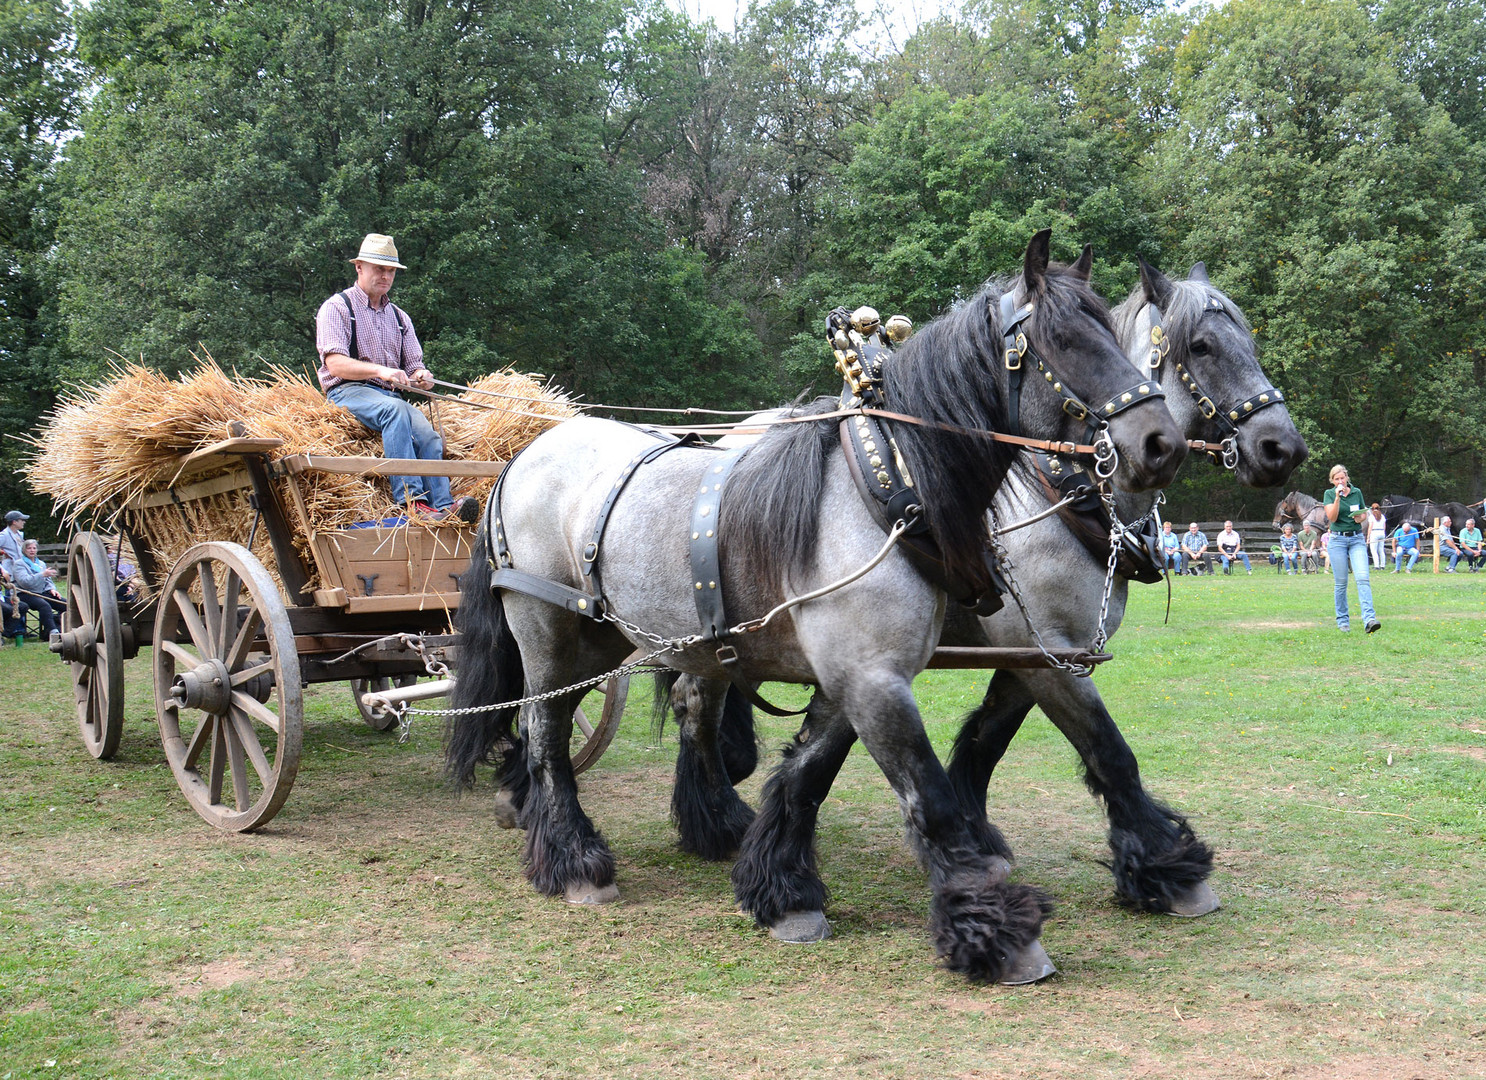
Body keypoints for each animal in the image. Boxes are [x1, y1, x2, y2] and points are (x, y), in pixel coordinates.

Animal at [439, 231, 1182, 986]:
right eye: (1064, 340)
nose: (1161, 443)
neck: (888, 489)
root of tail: (524, 454)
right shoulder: (895, 675)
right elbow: (934, 798)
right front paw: (995, 926)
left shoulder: (860, 674)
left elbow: (809, 771)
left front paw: (781, 889)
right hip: (550, 631)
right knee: (546, 733)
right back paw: (572, 859)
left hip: (625, 638)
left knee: (647, 718)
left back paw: (698, 826)